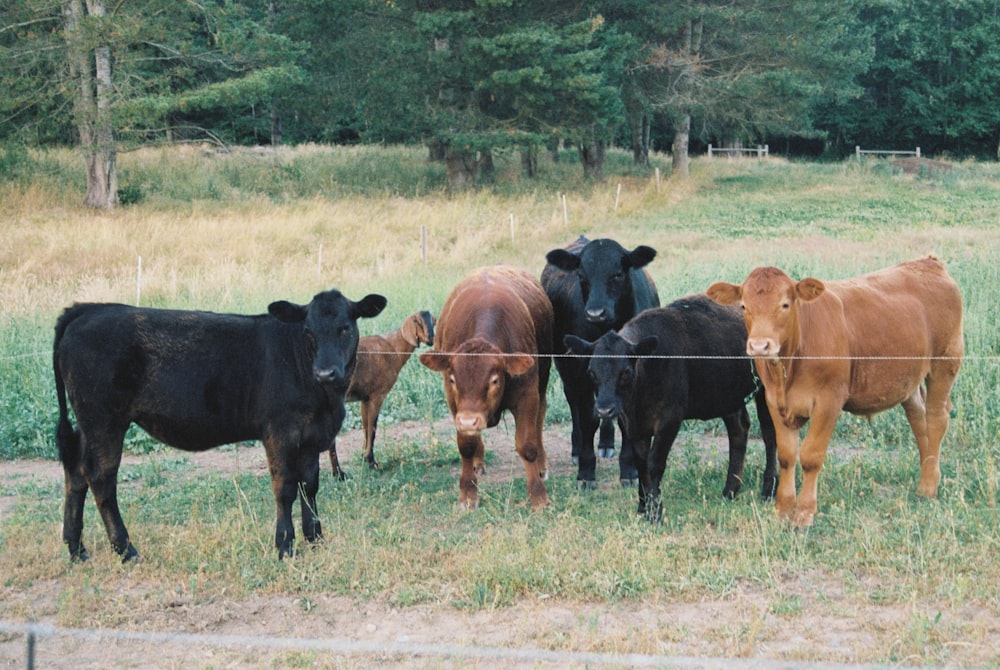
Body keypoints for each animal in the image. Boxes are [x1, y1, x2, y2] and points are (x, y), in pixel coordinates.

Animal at [50, 288, 388, 560]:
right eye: (308, 331)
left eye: (345, 328)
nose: (325, 372)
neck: (325, 401)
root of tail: (89, 309)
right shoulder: (280, 432)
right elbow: (285, 488)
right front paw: (284, 545)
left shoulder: (311, 435)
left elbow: (310, 485)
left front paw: (315, 537)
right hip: (104, 421)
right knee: (101, 478)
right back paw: (126, 550)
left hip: (88, 424)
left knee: (76, 471)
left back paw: (76, 549)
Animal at [416, 266, 552, 510]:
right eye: (453, 380)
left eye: (495, 381)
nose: (469, 420)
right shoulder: (454, 403)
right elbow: (466, 445)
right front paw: (468, 493)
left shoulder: (528, 395)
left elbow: (527, 446)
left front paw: (538, 496)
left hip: (542, 383)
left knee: (539, 420)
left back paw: (541, 465)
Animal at [544, 236, 660, 488]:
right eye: (581, 275)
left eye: (617, 273)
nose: (595, 313)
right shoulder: (579, 373)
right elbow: (588, 419)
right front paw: (586, 472)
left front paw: (629, 469)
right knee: (575, 406)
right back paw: (577, 449)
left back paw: (606, 443)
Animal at [568, 296, 776, 524]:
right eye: (591, 372)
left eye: (626, 372)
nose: (604, 410)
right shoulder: (632, 423)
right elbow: (641, 464)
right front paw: (643, 507)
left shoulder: (669, 419)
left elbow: (654, 464)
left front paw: (656, 512)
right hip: (728, 394)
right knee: (739, 428)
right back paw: (730, 490)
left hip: (767, 389)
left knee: (769, 434)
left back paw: (768, 490)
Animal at [704, 258, 960, 532]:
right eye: (744, 306)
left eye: (785, 304)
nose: (760, 346)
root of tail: (927, 262)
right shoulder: (775, 402)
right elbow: (786, 456)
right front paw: (783, 510)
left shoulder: (829, 401)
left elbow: (810, 457)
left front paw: (804, 513)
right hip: (907, 380)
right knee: (919, 419)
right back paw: (926, 477)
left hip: (945, 363)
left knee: (936, 419)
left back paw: (929, 486)